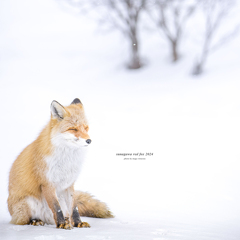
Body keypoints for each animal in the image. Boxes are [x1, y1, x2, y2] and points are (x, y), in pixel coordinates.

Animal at [7, 98, 112, 230]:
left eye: (86, 128)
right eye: (73, 129)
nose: (89, 140)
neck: (66, 159)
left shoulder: (69, 184)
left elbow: (74, 207)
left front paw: (77, 223)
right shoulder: (47, 183)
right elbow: (56, 208)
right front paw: (61, 224)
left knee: (67, 212)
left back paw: (68, 221)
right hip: (27, 204)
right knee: (23, 220)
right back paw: (36, 221)